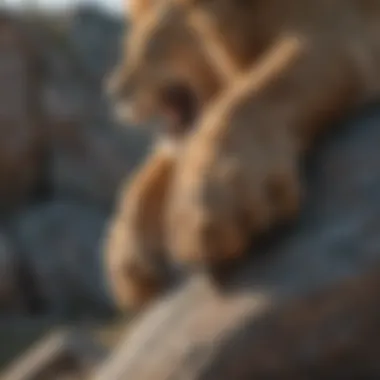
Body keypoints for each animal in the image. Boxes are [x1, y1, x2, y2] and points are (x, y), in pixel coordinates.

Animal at [105, 0, 380, 310]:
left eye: (145, 44)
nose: (113, 92)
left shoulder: (332, 31)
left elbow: (254, 92)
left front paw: (210, 205)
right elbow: (149, 171)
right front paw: (127, 259)